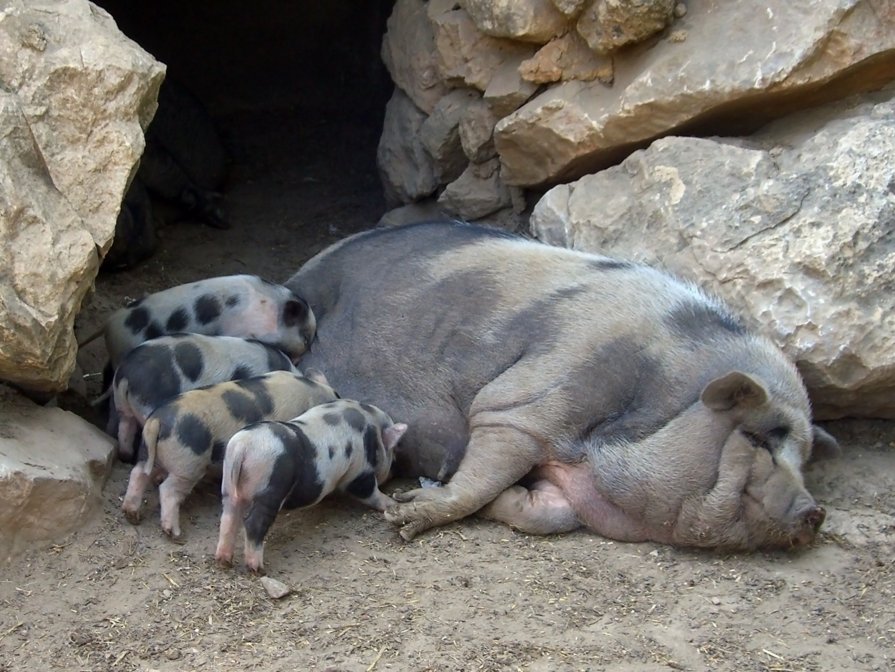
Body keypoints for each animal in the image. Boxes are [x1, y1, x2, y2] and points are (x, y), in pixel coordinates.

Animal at [122, 370, 340, 540]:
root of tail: (158, 421)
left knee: (138, 474)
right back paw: (175, 534)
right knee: (168, 489)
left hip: (149, 452)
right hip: (188, 462)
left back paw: (131, 514)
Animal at [215, 400, 408, 572]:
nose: (395, 471)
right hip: (270, 486)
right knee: (253, 522)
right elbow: (368, 491)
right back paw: (257, 568)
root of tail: (242, 447)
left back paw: (224, 561)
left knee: (228, 518)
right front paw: (393, 503)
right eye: (393, 450)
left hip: (229, 486)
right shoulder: (359, 471)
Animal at [288, 220, 840, 552]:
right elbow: (486, 465)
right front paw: (405, 516)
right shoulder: (527, 400)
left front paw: (504, 499)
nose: (816, 510)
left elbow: (547, 515)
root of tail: (302, 270)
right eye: (760, 437)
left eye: (804, 456)